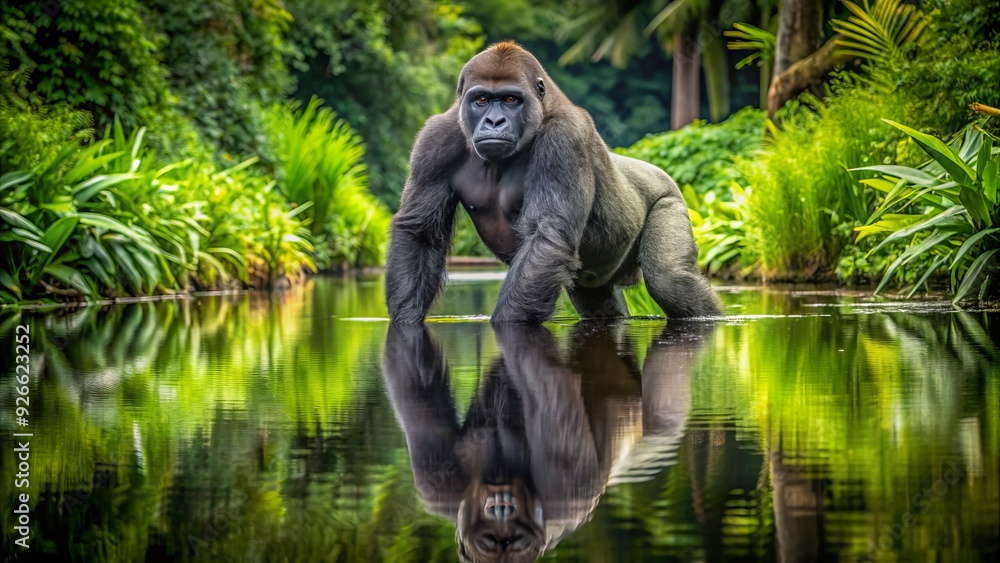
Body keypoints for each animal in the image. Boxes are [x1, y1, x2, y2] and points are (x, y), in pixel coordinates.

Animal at [385, 41, 722, 324]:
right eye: (481, 99)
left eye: (511, 99)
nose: (494, 121)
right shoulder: (435, 139)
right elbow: (419, 232)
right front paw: (405, 320)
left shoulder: (565, 136)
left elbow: (547, 234)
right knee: (601, 305)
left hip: (669, 194)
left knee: (670, 280)